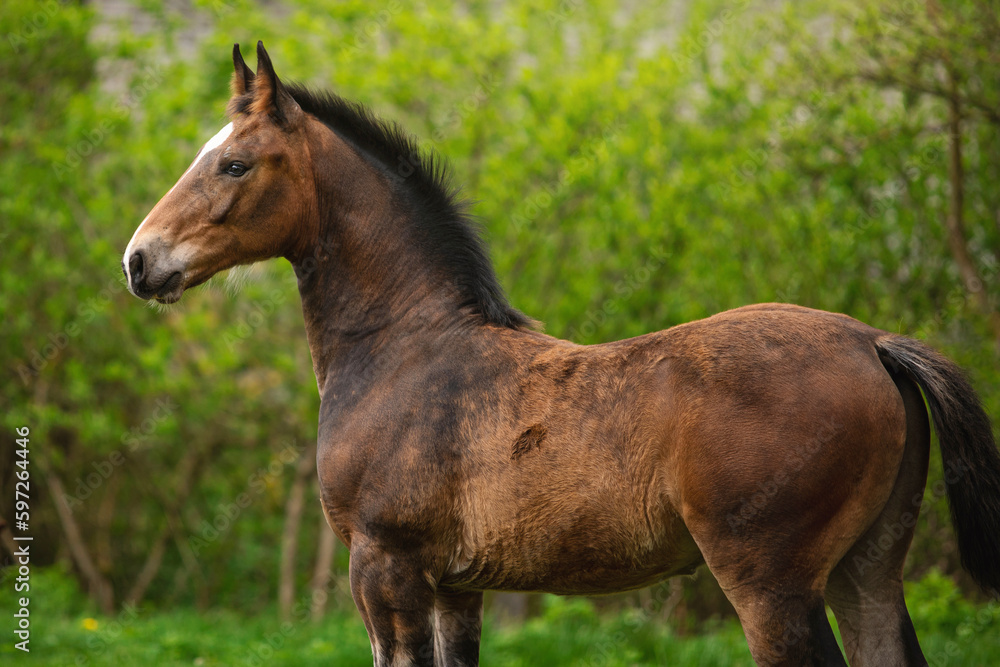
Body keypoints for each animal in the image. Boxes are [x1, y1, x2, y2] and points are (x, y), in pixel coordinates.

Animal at [123, 43, 1000, 667]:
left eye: (234, 163)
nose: (139, 260)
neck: (406, 350)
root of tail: (871, 342)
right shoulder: (456, 586)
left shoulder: (384, 566)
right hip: (869, 566)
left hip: (771, 584)